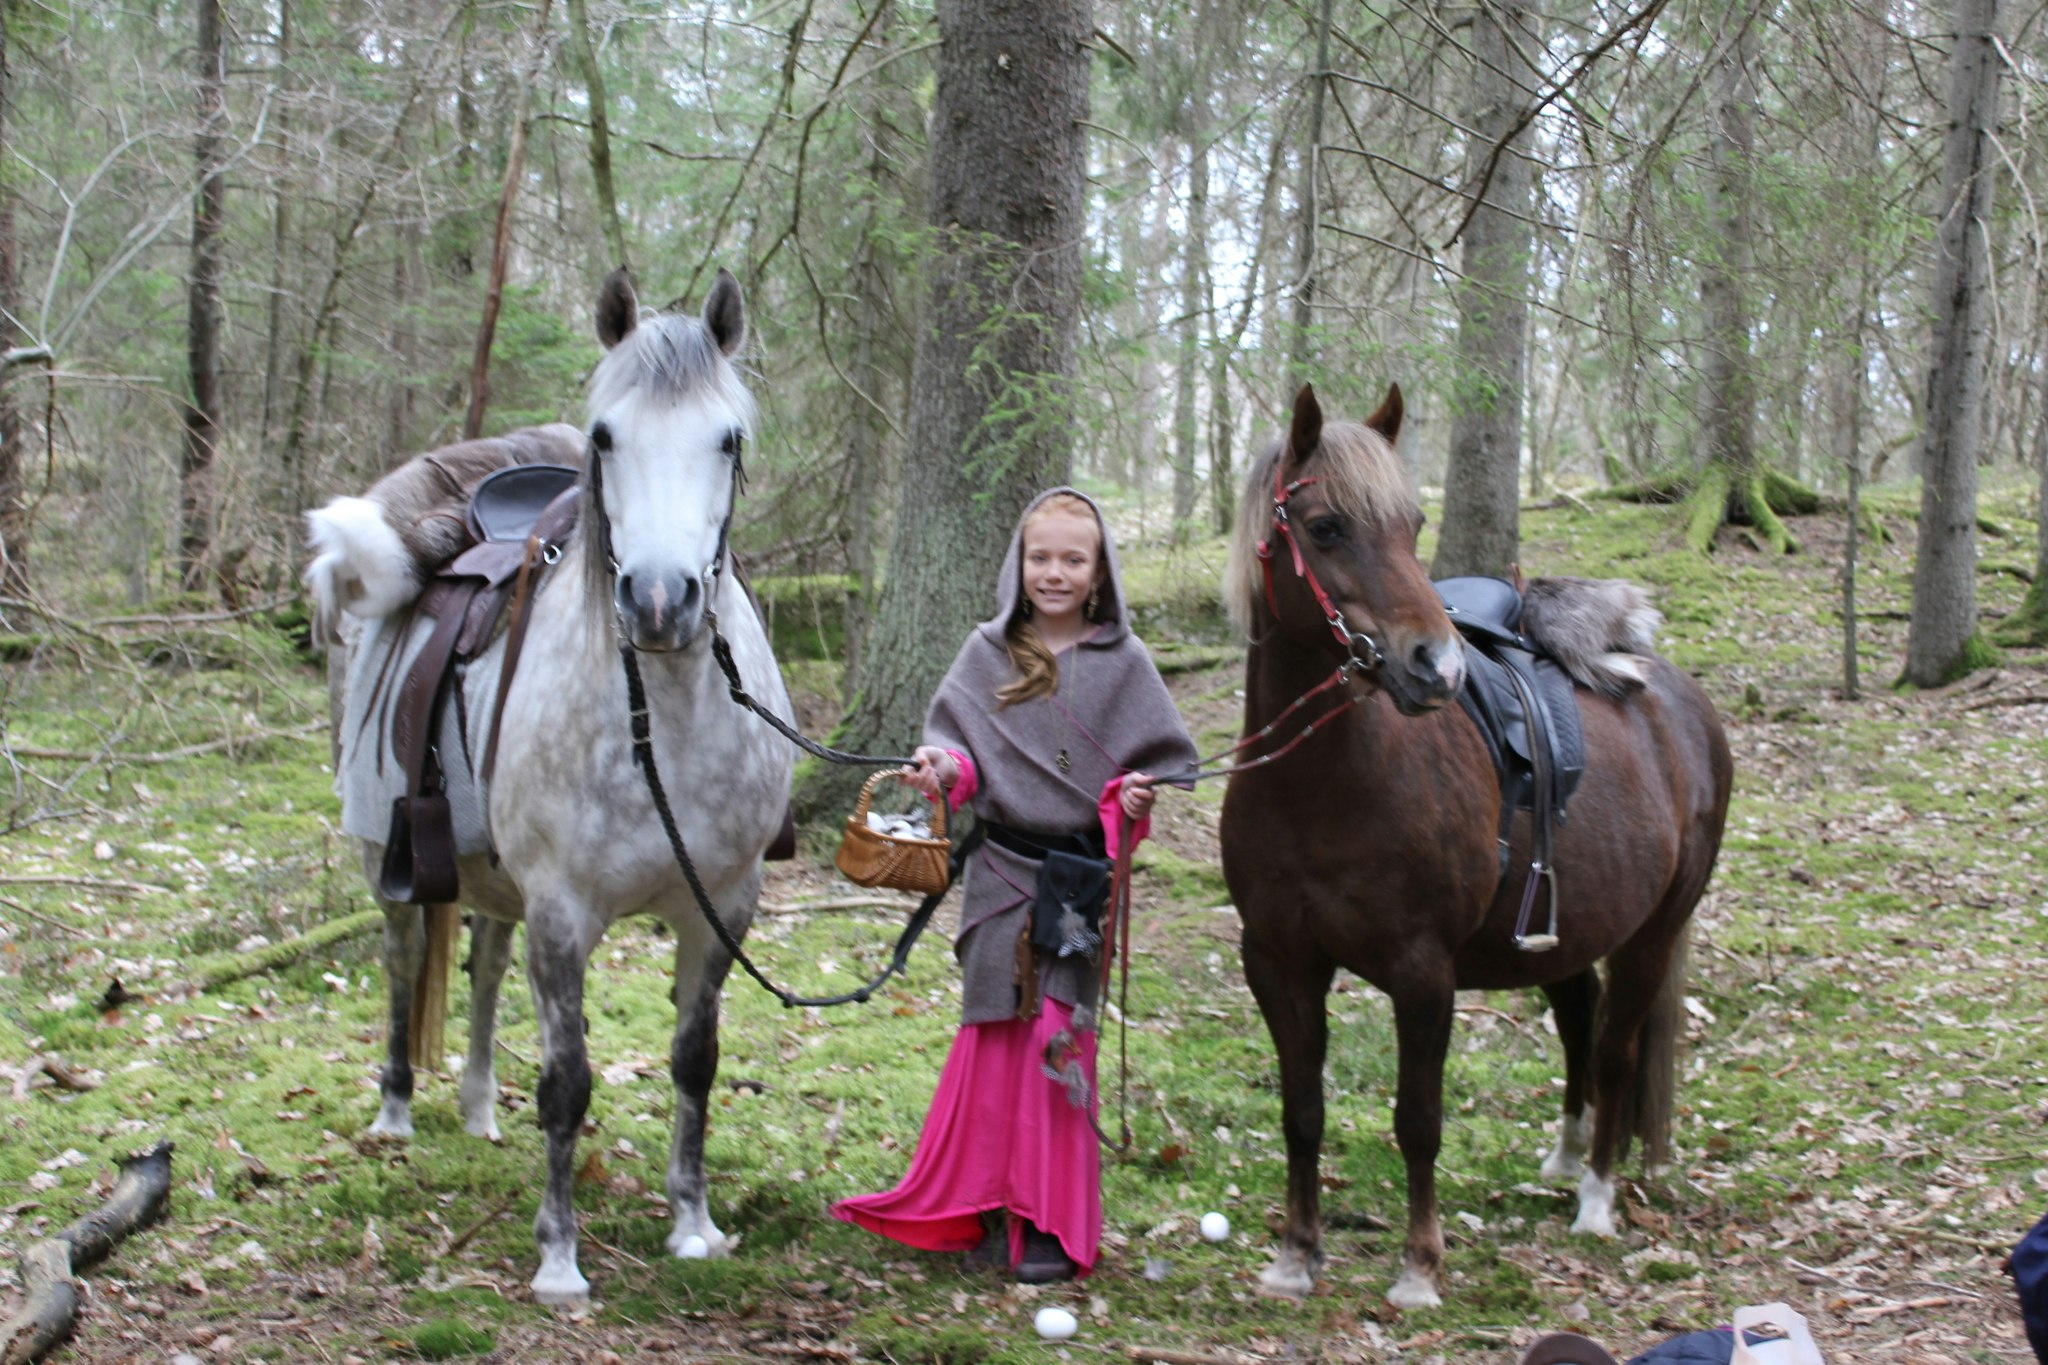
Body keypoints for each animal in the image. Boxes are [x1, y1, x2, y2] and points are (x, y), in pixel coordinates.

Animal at [307, 270, 794, 1301]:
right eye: (605, 436)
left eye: (728, 439)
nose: (660, 601)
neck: (665, 724)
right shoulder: (565, 912)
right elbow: (568, 1081)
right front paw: (560, 1256)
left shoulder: (722, 905)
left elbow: (695, 1061)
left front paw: (694, 1224)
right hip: (386, 858)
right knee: (403, 959)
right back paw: (397, 1111)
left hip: (494, 878)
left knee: (487, 961)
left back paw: (480, 1105)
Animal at [1212, 384, 1728, 1309]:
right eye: (1327, 527)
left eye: (1414, 523)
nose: (1436, 668)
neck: (1322, 785)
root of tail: (1682, 701)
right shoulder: (1277, 961)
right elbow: (1301, 1109)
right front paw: (1297, 1253)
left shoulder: (1423, 973)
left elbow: (1417, 1119)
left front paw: (1420, 1266)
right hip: (1564, 931)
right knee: (1581, 1019)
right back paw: (1565, 1154)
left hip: (1654, 933)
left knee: (1617, 1045)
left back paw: (1596, 1195)